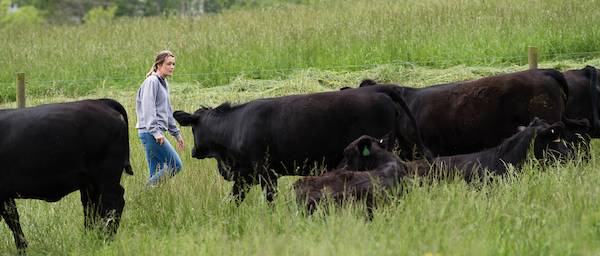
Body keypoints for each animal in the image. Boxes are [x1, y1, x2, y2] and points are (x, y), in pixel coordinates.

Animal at [0, 98, 132, 252]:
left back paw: (106, 238)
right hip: (90, 184)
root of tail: (100, 102)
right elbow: (13, 220)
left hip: (106, 178)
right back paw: (90, 239)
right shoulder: (6, 197)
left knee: (113, 203)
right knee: (92, 207)